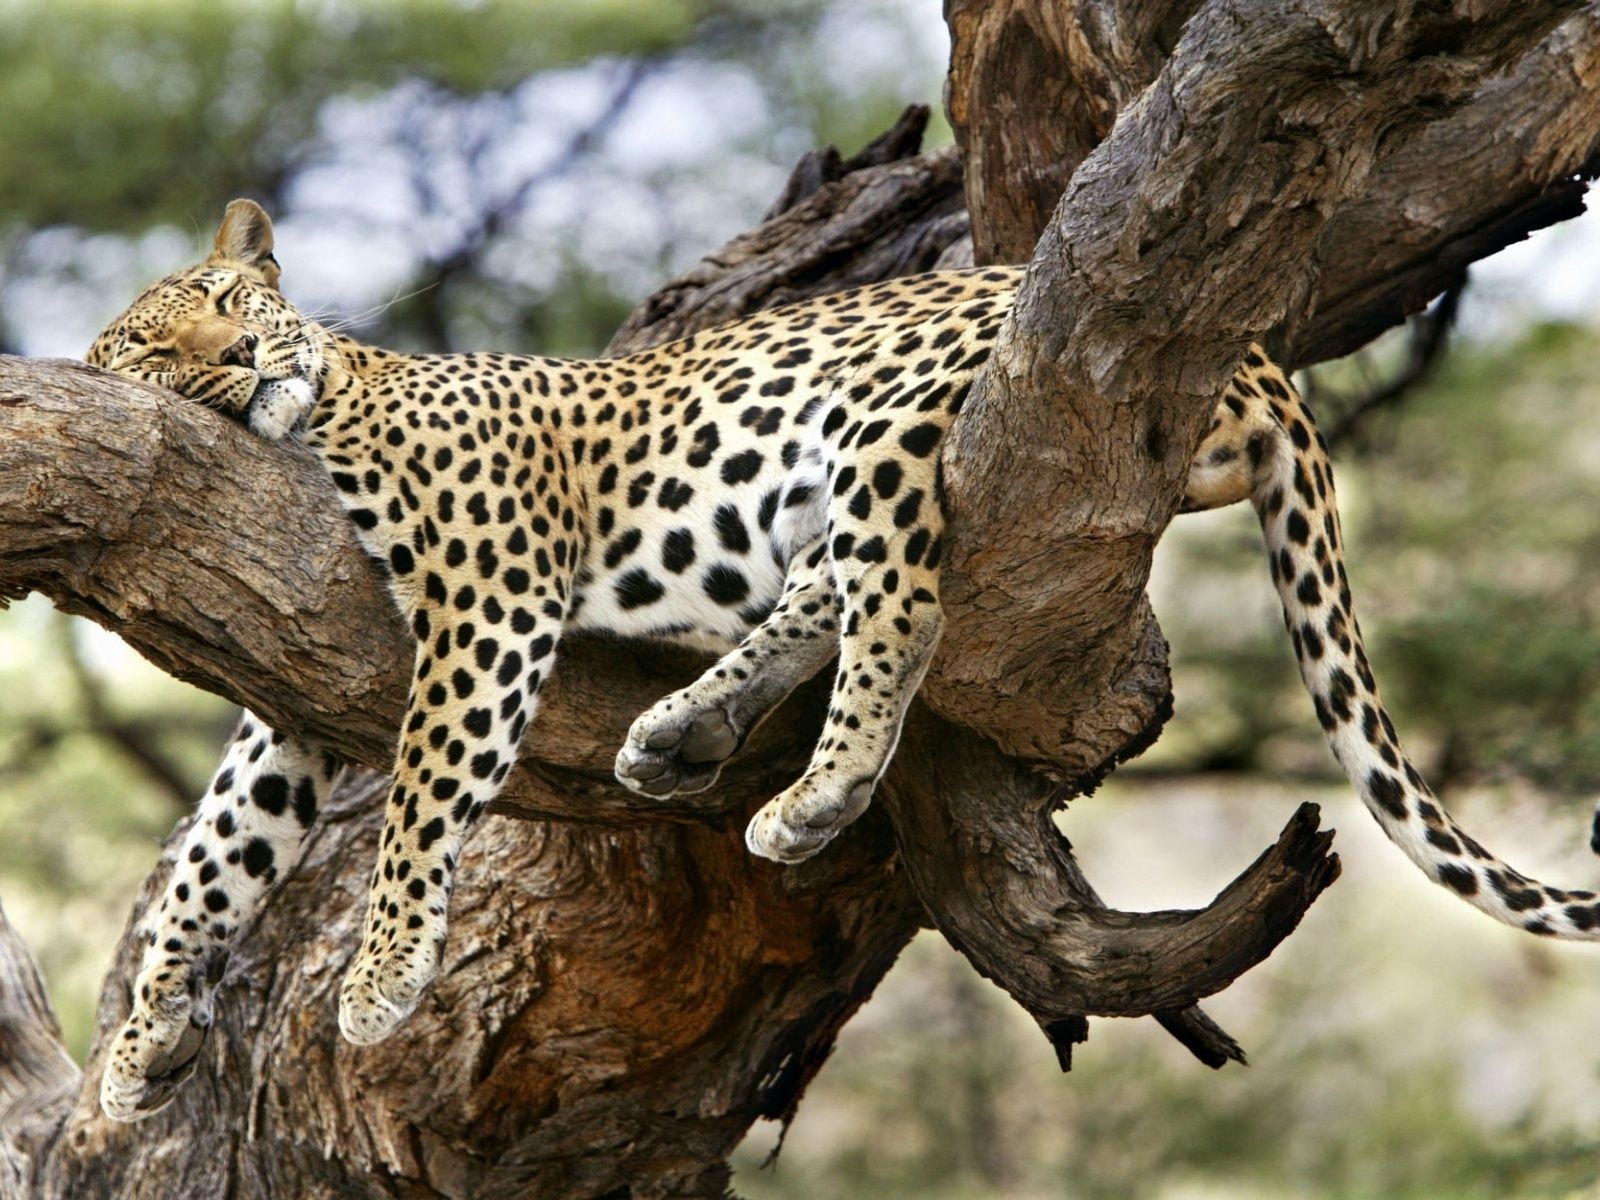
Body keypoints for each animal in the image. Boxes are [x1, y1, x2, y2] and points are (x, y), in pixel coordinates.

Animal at [84, 200, 1600, 1126]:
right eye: (158, 350)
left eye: (225, 297)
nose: (242, 349)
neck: (319, 418)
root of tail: (1261, 354)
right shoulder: (290, 686)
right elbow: (215, 853)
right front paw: (138, 1044)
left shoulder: (490, 591)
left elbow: (415, 801)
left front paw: (382, 974)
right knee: (832, 585)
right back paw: (685, 732)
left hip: (883, 418)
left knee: (903, 603)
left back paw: (813, 793)